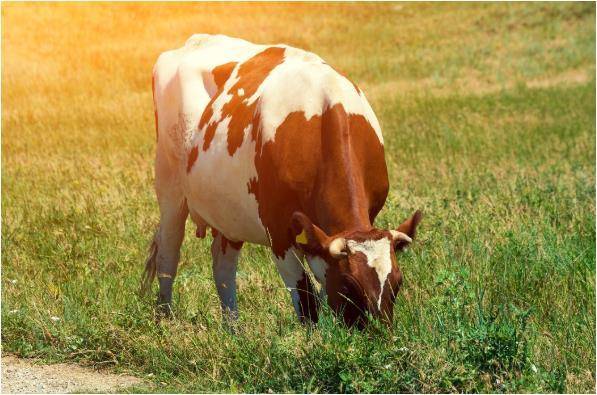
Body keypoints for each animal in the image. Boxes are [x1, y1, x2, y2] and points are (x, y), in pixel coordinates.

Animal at [140, 34, 422, 328]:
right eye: (348, 284)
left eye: (397, 283)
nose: (379, 333)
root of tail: (196, 40)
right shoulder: (277, 228)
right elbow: (306, 296)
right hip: (169, 186)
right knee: (168, 255)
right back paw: (164, 320)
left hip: (229, 210)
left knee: (222, 265)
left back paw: (234, 331)